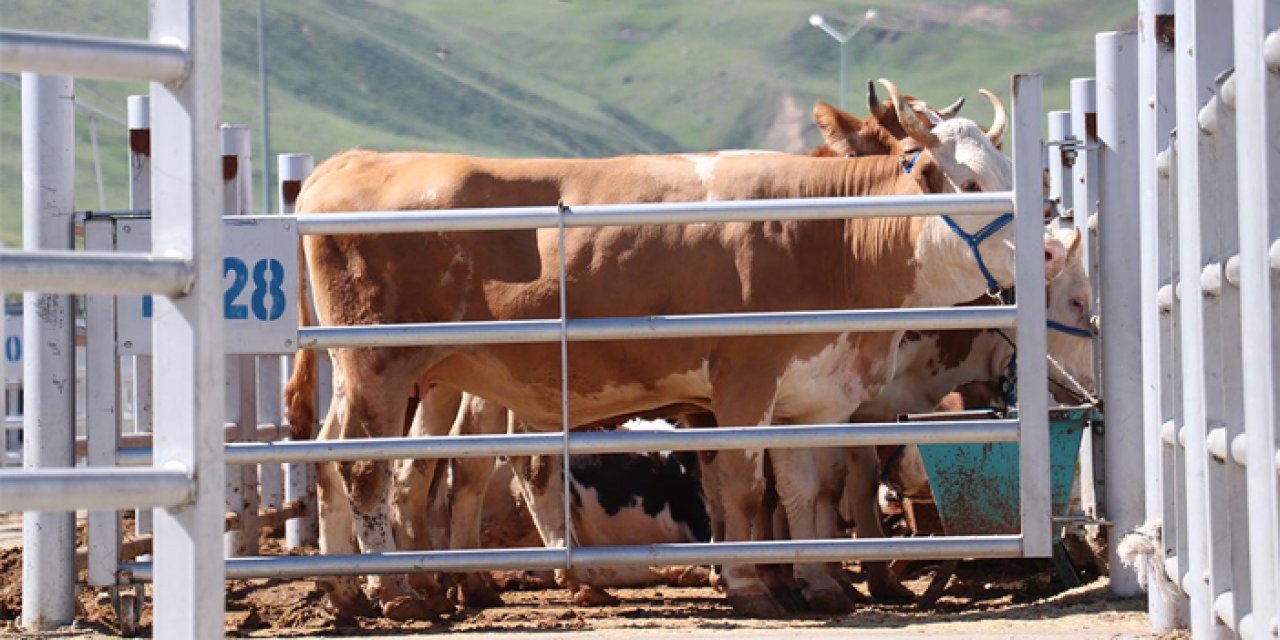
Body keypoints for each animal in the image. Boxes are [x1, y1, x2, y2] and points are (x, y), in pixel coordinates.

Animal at [288, 80, 1059, 619]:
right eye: (969, 183)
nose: (1052, 248)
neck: (827, 235)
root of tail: (348, 165)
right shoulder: (740, 382)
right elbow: (745, 488)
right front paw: (752, 585)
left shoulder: (811, 395)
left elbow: (808, 489)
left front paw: (819, 583)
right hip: (380, 365)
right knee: (369, 473)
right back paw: (398, 593)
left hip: (393, 374)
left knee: (348, 463)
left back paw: (354, 596)